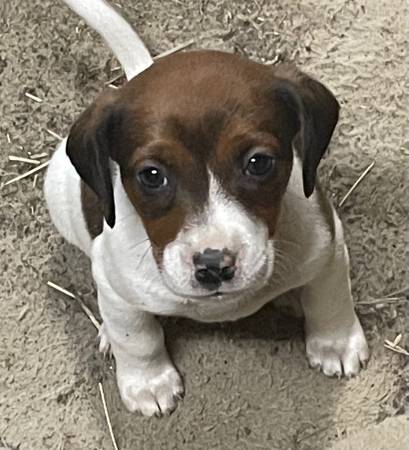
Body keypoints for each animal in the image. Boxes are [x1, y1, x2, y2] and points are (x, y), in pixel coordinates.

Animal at [43, 0, 366, 416]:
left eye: (259, 163)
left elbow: (330, 296)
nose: (214, 266)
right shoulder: (115, 283)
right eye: (152, 175)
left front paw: (334, 343)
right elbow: (137, 336)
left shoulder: (326, 246)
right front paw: (147, 382)